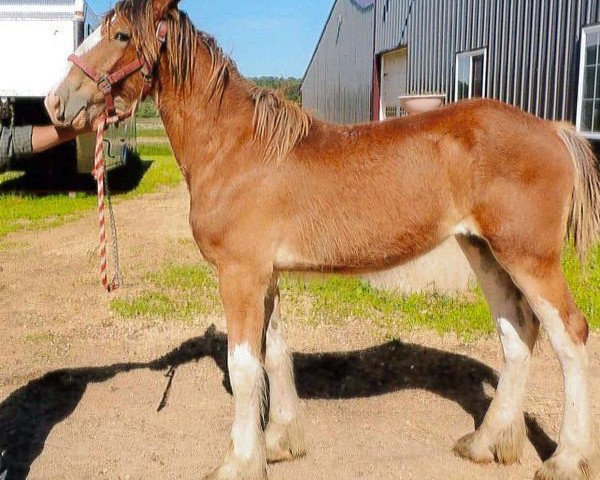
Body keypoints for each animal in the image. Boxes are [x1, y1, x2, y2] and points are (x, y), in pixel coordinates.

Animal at [45, 1, 600, 478]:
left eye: (120, 35)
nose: (56, 102)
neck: (236, 149)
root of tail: (553, 128)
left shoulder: (240, 275)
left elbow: (244, 367)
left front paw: (238, 463)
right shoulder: (264, 275)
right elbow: (273, 355)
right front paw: (279, 443)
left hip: (529, 257)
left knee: (570, 336)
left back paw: (564, 460)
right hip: (483, 251)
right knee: (517, 334)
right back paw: (486, 444)